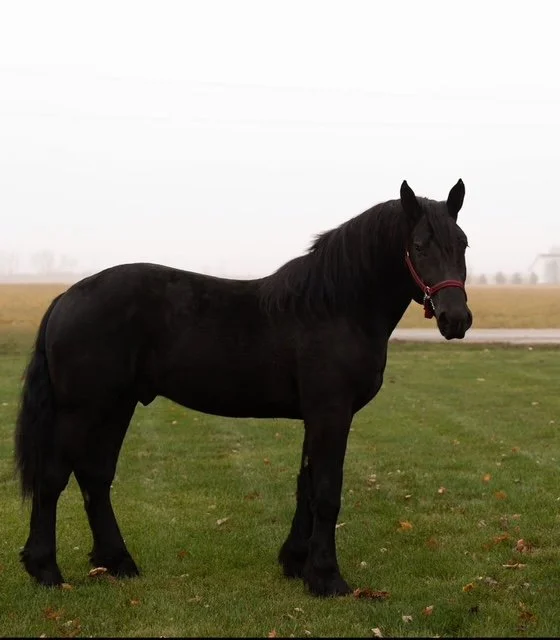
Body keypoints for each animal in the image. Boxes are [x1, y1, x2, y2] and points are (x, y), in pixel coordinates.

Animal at [14, 179, 472, 597]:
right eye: (419, 245)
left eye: (463, 244)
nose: (457, 319)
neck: (335, 308)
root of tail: (66, 297)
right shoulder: (331, 413)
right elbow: (327, 492)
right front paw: (328, 579)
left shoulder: (315, 416)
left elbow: (306, 486)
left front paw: (296, 563)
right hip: (83, 409)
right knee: (53, 478)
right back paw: (46, 570)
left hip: (116, 405)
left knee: (95, 476)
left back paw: (118, 562)